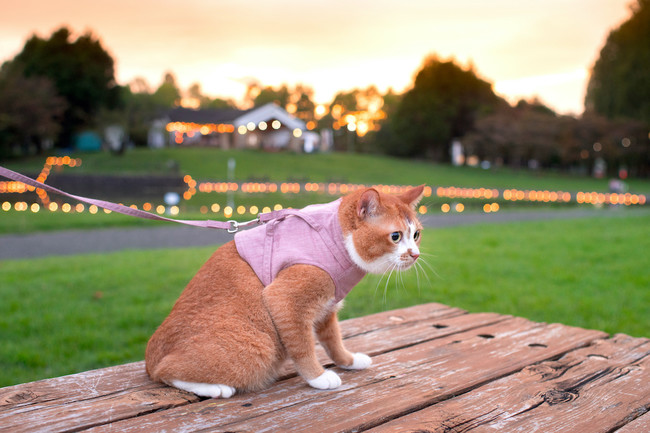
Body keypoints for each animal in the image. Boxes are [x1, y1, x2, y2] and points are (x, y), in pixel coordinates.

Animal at [144, 184, 422, 396]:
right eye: (395, 236)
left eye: (416, 234)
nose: (415, 254)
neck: (335, 237)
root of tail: (150, 356)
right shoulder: (285, 300)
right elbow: (303, 346)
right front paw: (318, 377)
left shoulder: (327, 308)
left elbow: (333, 340)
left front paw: (349, 361)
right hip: (258, 346)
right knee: (164, 373)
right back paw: (216, 389)